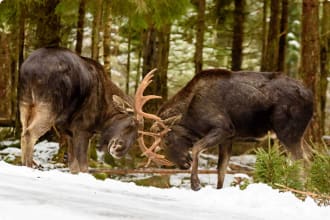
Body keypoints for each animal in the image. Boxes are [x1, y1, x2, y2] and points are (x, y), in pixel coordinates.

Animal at [19, 47, 164, 173]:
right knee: (29, 134)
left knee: (23, 132)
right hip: (49, 106)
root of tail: (30, 70)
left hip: (25, 103)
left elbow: (73, 167)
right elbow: (83, 167)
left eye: (138, 136)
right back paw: (28, 167)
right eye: (132, 122)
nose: (119, 150)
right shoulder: (82, 129)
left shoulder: (68, 132)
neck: (103, 117)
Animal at [146, 69, 314, 191]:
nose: (182, 165)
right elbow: (221, 170)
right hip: (299, 134)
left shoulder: (225, 128)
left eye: (166, 142)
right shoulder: (227, 139)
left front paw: (196, 184)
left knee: (301, 161)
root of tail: (312, 97)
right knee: (310, 155)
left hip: (287, 132)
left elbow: (196, 148)